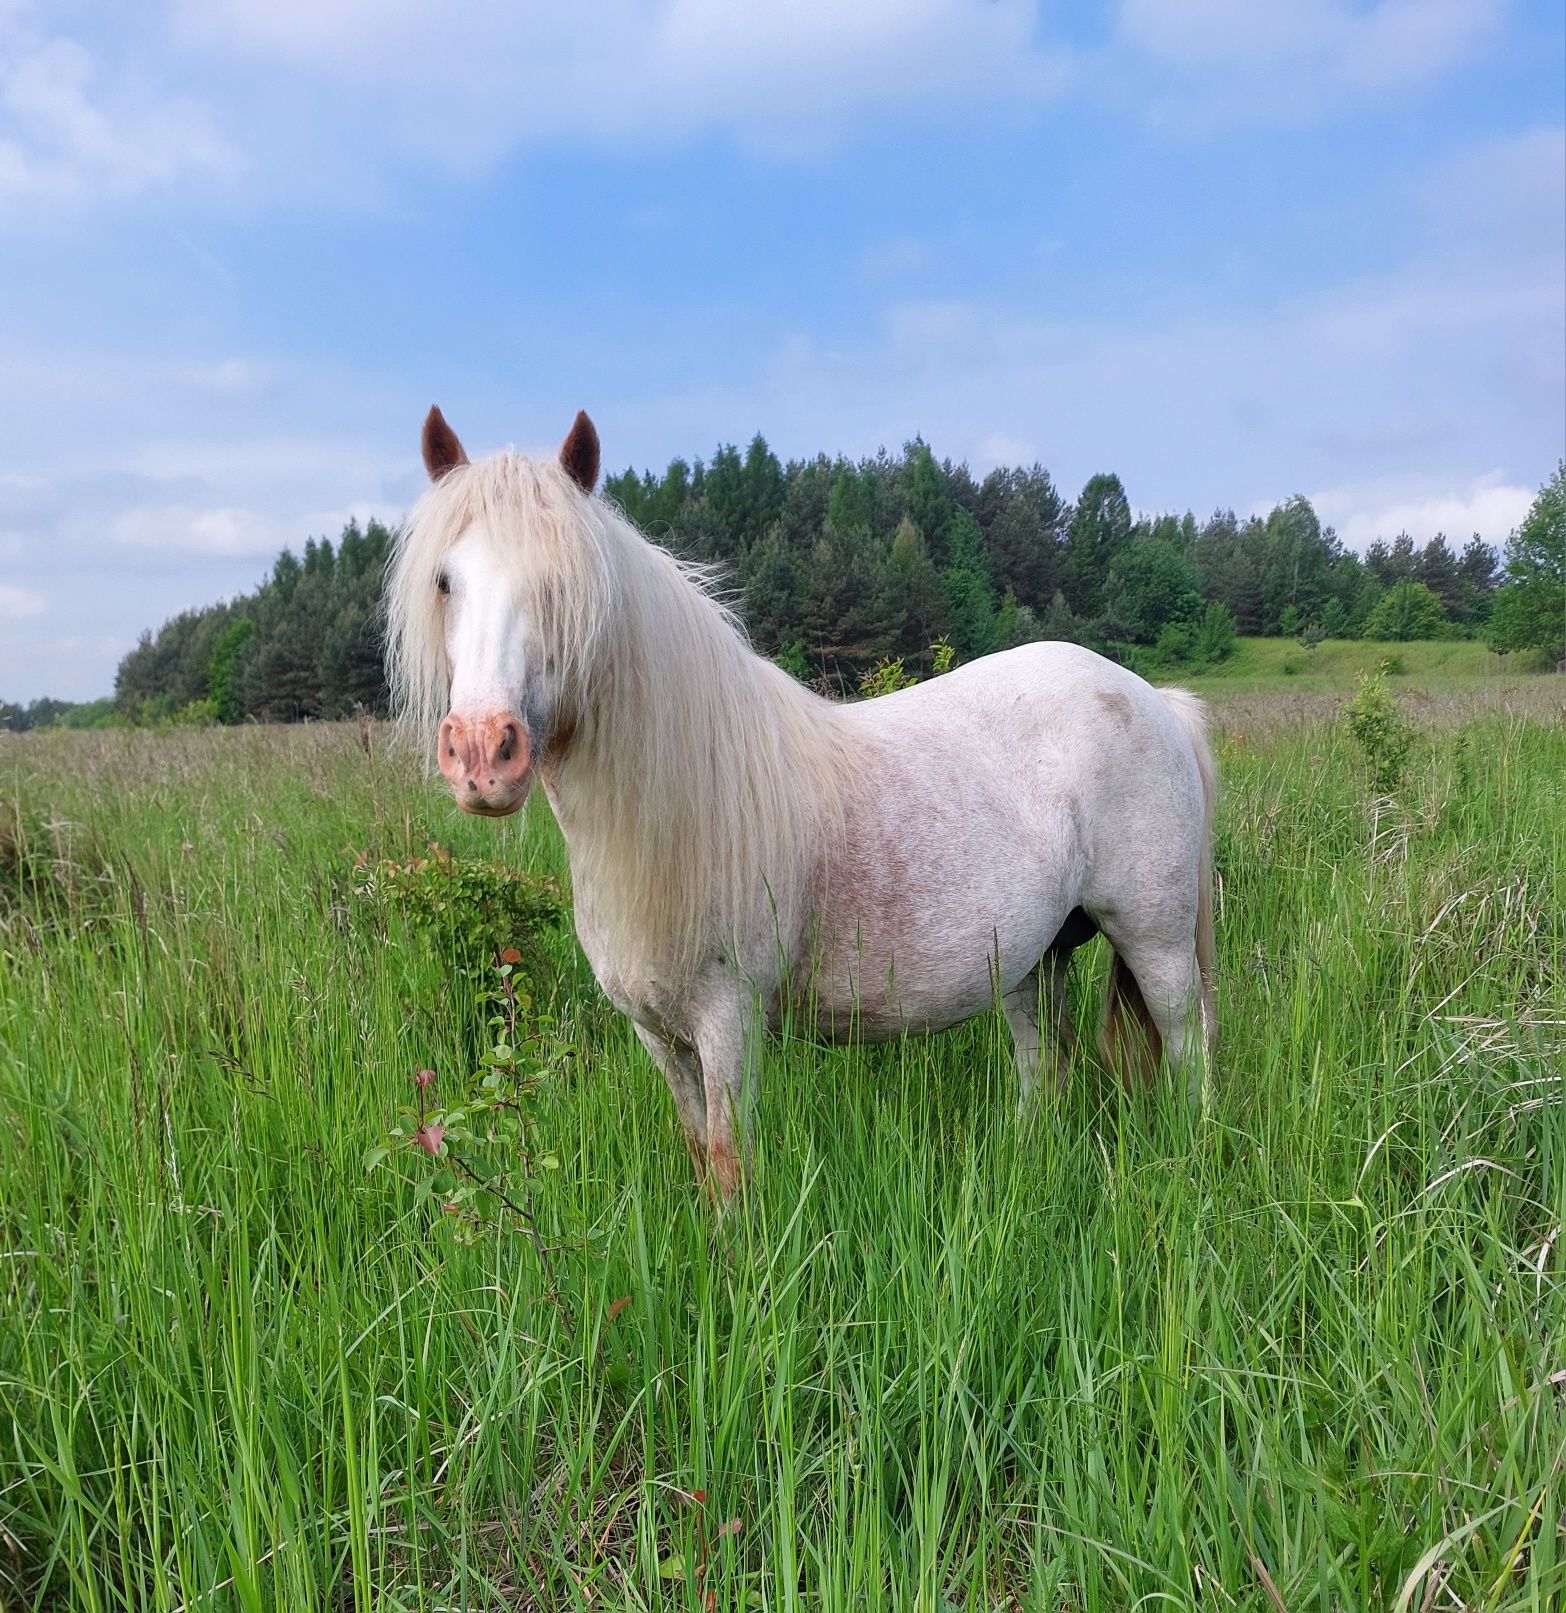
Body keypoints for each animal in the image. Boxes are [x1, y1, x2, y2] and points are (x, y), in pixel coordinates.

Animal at [385, 416, 1219, 1200]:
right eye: (446, 581)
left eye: (564, 582)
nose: (482, 752)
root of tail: (1154, 698)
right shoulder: (657, 1033)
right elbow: (699, 1153)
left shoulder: (729, 1019)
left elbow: (730, 1164)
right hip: (1034, 961)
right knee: (1043, 1068)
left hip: (1157, 943)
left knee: (1190, 1051)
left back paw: (1192, 1162)